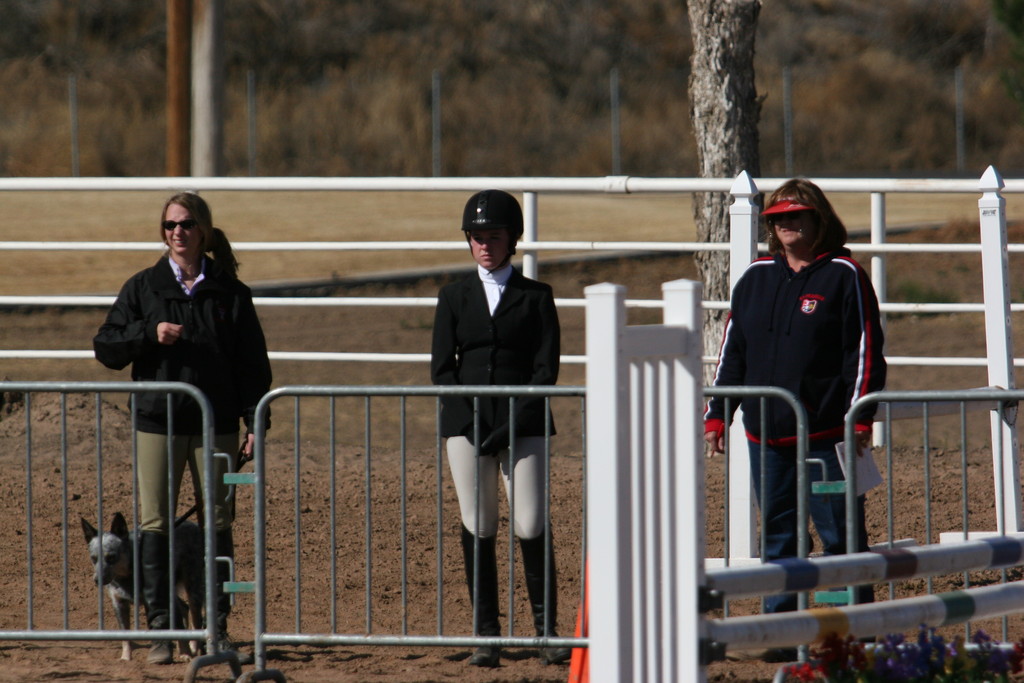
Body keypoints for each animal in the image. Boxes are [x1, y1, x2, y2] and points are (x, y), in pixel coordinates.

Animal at [80, 511, 204, 663]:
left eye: (111, 557)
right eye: (93, 558)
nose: (97, 580)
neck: (127, 576)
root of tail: (193, 524)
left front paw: (185, 654)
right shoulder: (119, 603)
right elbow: (125, 636)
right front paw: (125, 657)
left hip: (192, 589)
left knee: (195, 619)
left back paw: (192, 648)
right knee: (184, 608)